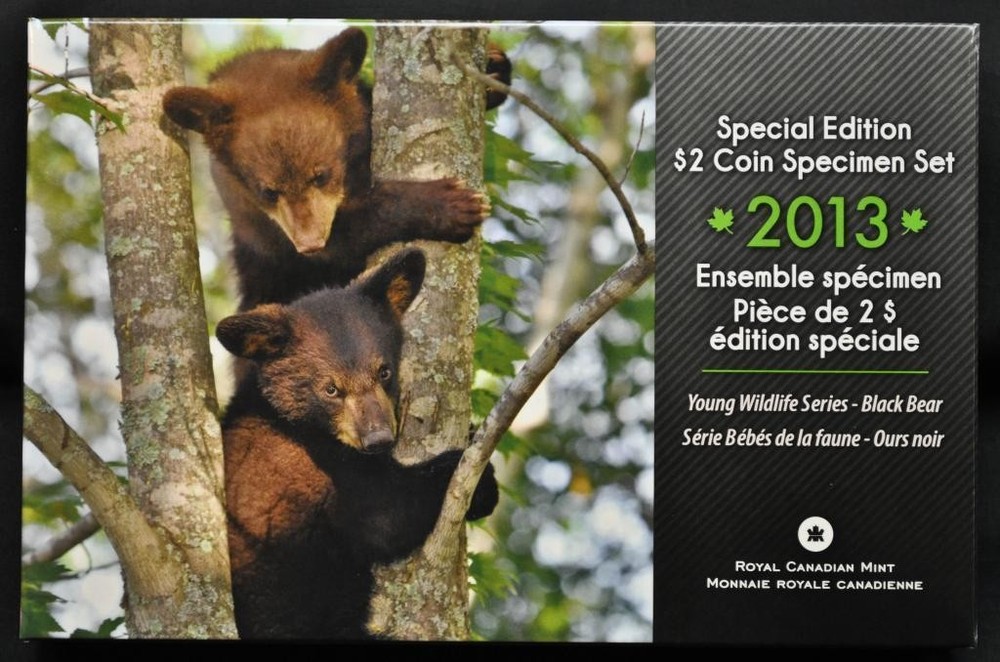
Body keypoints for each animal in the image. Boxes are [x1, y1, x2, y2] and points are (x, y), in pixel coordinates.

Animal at [163, 27, 511, 311]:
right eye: (269, 191)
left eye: (321, 175)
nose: (309, 242)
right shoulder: (251, 214)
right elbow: (347, 235)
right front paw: (450, 205)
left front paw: (493, 67)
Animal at [215, 247, 499, 639]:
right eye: (331, 389)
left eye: (384, 371)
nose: (378, 438)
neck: (295, 423)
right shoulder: (316, 469)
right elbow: (387, 514)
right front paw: (481, 481)